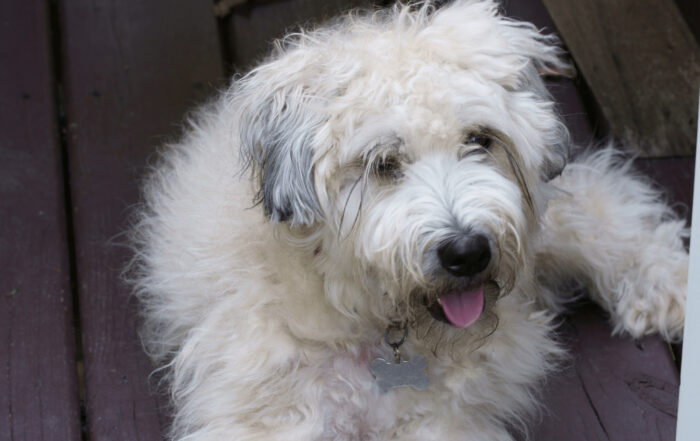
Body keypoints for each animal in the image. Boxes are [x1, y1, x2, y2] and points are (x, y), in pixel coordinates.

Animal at [129, 1, 688, 438]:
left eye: (479, 139)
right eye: (383, 163)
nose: (468, 252)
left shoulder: (446, 420)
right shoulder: (270, 411)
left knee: (601, 199)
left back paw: (669, 286)